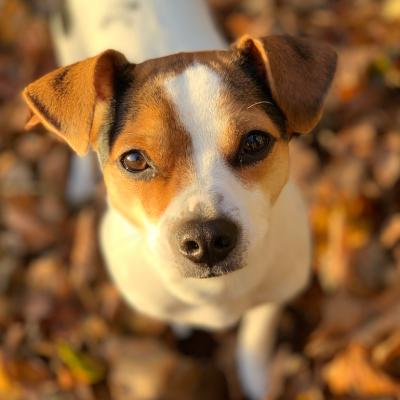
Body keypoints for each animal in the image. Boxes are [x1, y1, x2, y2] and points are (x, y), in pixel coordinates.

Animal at [21, 26, 334, 398]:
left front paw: (256, 379)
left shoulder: (276, 293)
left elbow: (256, 336)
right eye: (134, 159)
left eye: (255, 142)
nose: (207, 238)